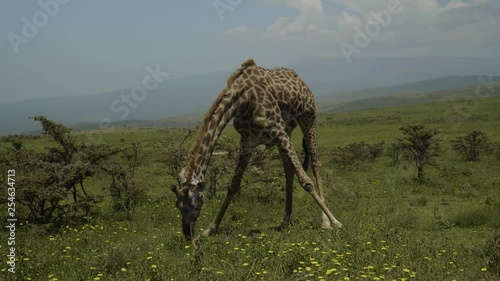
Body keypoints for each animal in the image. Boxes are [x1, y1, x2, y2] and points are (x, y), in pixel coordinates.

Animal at [170, 58, 342, 238]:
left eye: (190, 206)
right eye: (177, 206)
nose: (187, 234)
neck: (243, 100)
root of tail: (300, 79)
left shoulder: (278, 131)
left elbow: (306, 181)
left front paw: (336, 222)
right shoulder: (248, 141)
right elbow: (233, 186)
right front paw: (210, 229)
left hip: (308, 118)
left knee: (316, 164)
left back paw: (325, 221)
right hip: (287, 131)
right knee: (288, 169)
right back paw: (285, 219)